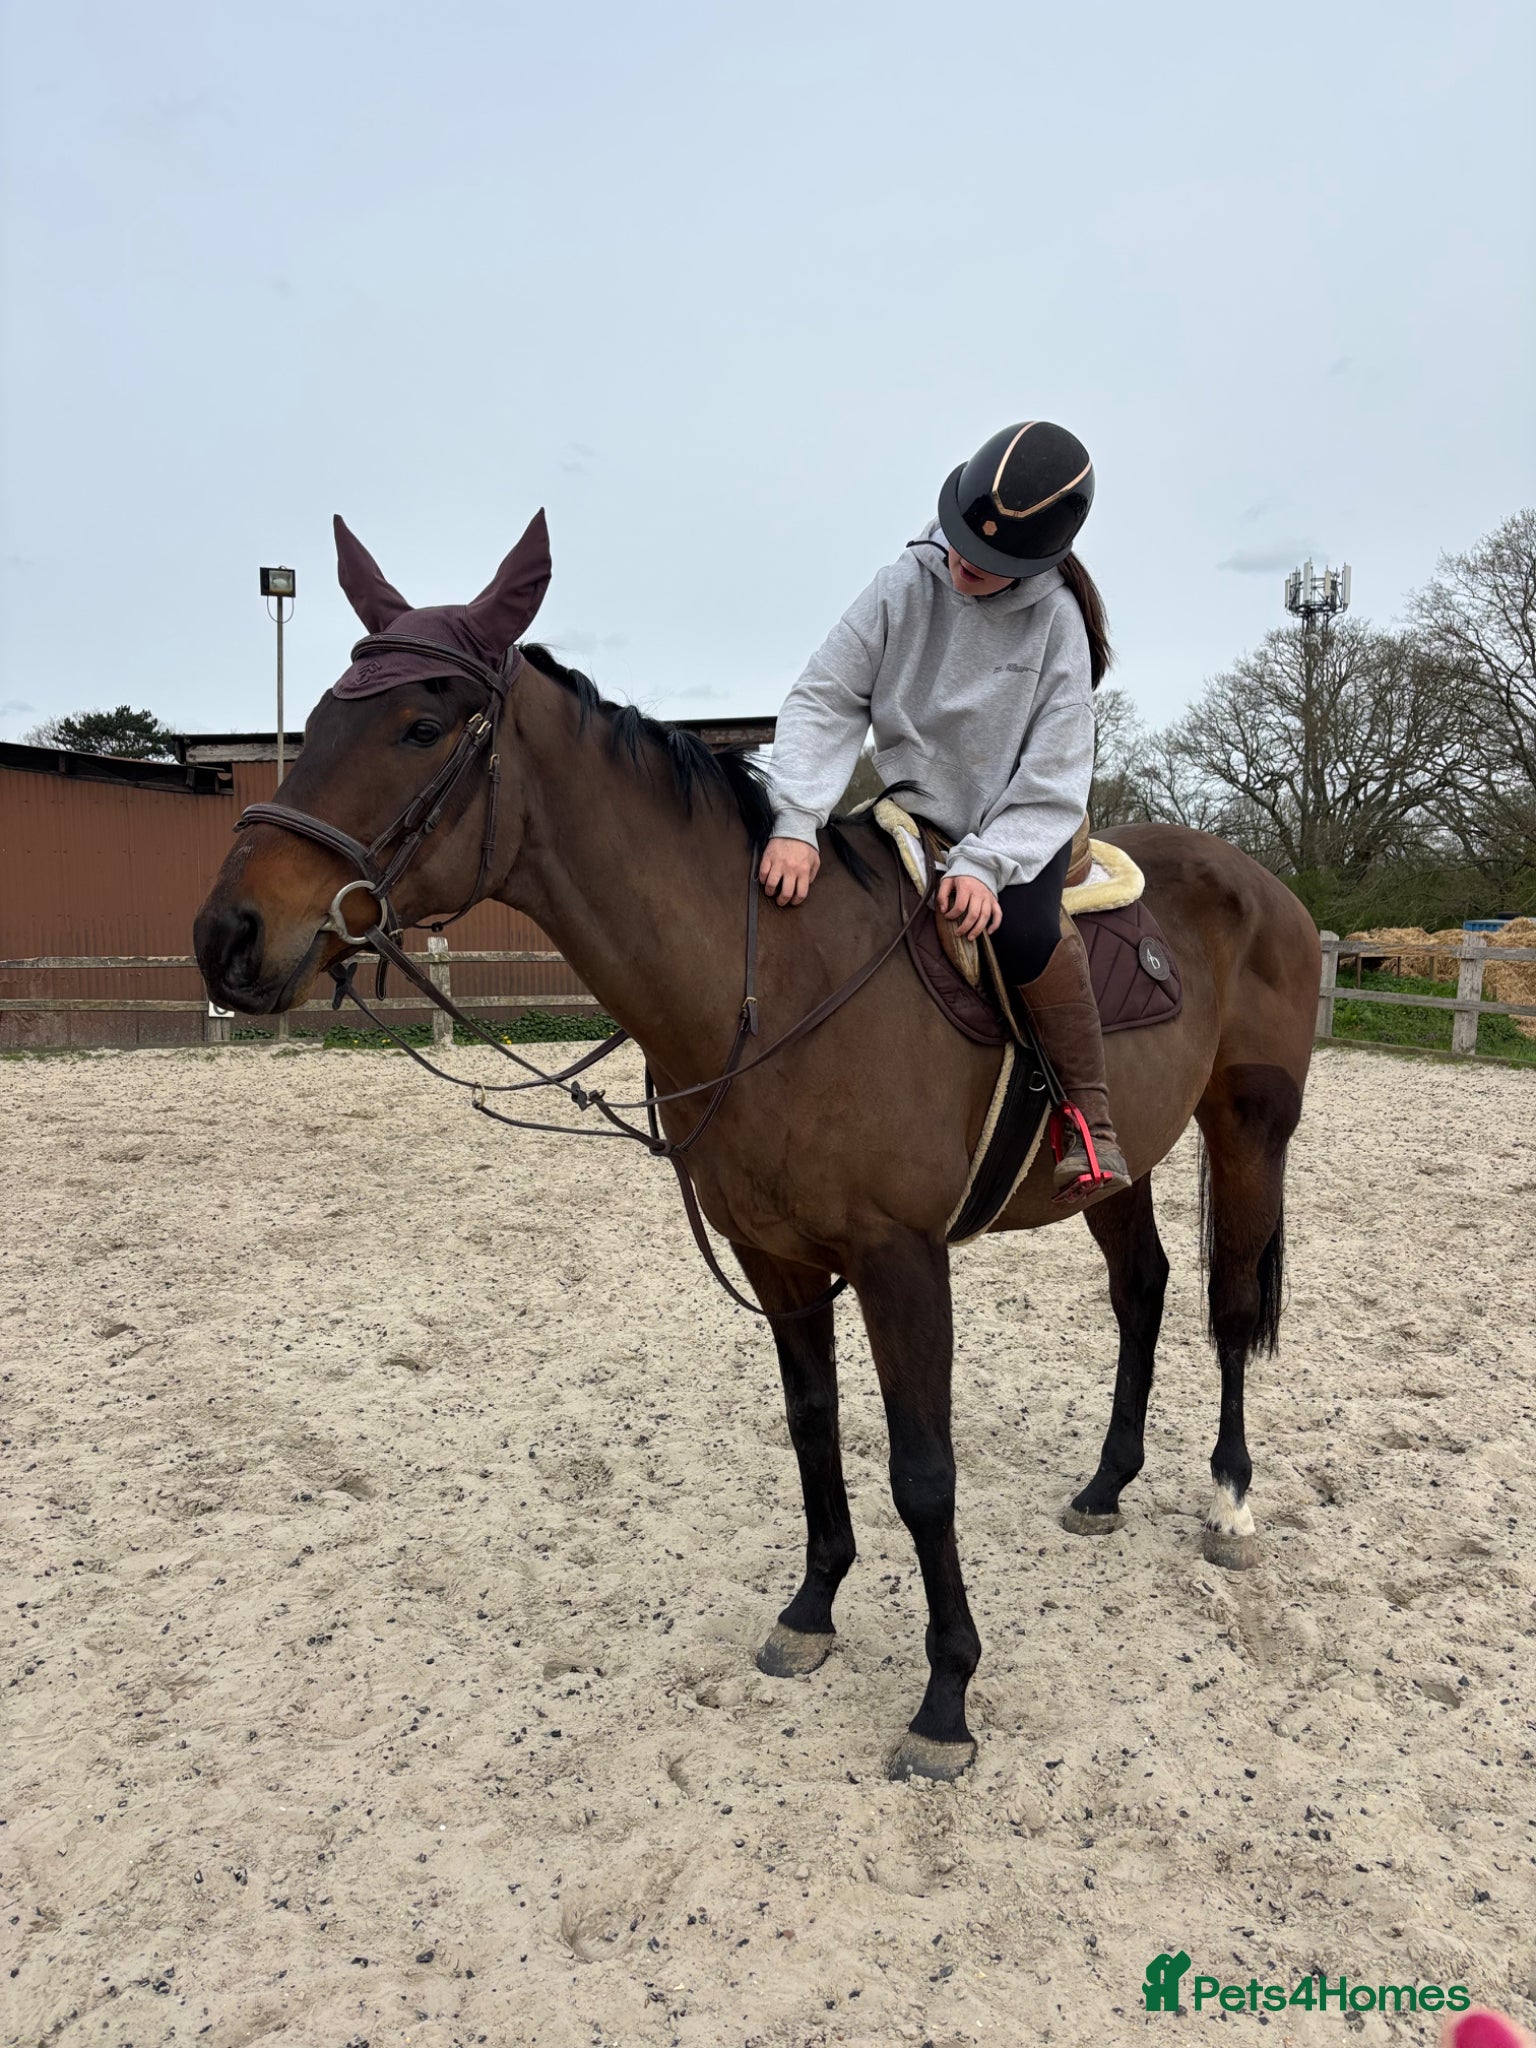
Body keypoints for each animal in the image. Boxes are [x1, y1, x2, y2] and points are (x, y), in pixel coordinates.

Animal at [194, 511, 1321, 1783]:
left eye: (420, 725)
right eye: (318, 715)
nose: (226, 935)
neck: (775, 981)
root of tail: (1259, 883)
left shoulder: (899, 1260)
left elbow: (923, 1471)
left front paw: (946, 1697)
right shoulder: (779, 1259)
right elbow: (812, 1430)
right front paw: (813, 1610)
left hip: (1249, 1127)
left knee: (1230, 1301)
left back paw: (1229, 1501)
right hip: (1118, 1165)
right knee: (1144, 1288)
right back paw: (1105, 1482)